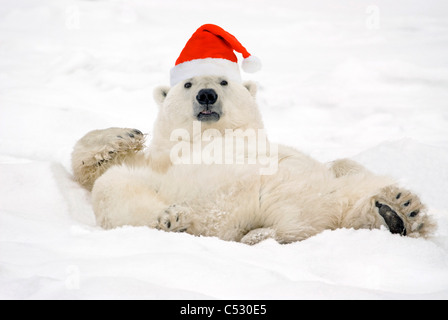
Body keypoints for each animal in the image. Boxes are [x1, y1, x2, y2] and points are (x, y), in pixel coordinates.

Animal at [72, 75, 436, 245]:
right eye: (188, 83)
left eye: (223, 81)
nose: (206, 94)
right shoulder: (162, 162)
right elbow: (101, 174)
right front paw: (122, 136)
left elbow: (342, 164)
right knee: (116, 191)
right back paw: (173, 219)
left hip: (325, 196)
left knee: (354, 192)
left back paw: (400, 210)